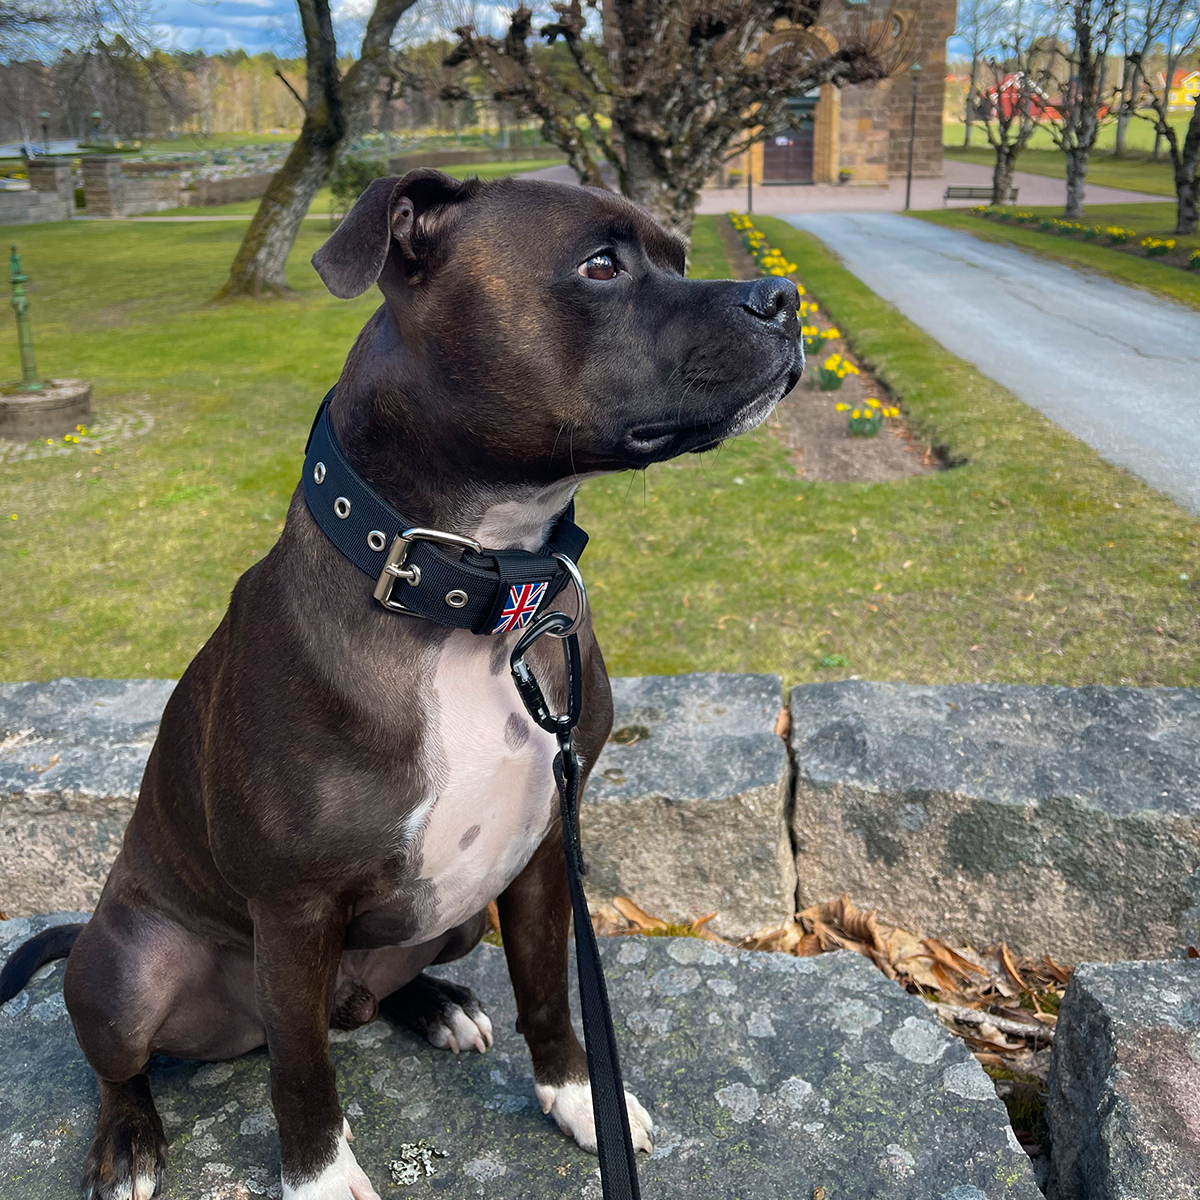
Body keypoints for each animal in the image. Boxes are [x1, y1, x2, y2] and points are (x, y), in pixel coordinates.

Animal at [7, 171, 806, 1200]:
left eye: (678, 253)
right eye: (601, 265)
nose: (784, 299)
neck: (475, 595)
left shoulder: (539, 854)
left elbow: (550, 990)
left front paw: (577, 1098)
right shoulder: (294, 910)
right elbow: (302, 1071)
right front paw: (318, 1177)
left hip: (456, 911)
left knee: (373, 999)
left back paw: (434, 1003)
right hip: (129, 968)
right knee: (132, 1060)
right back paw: (130, 1142)